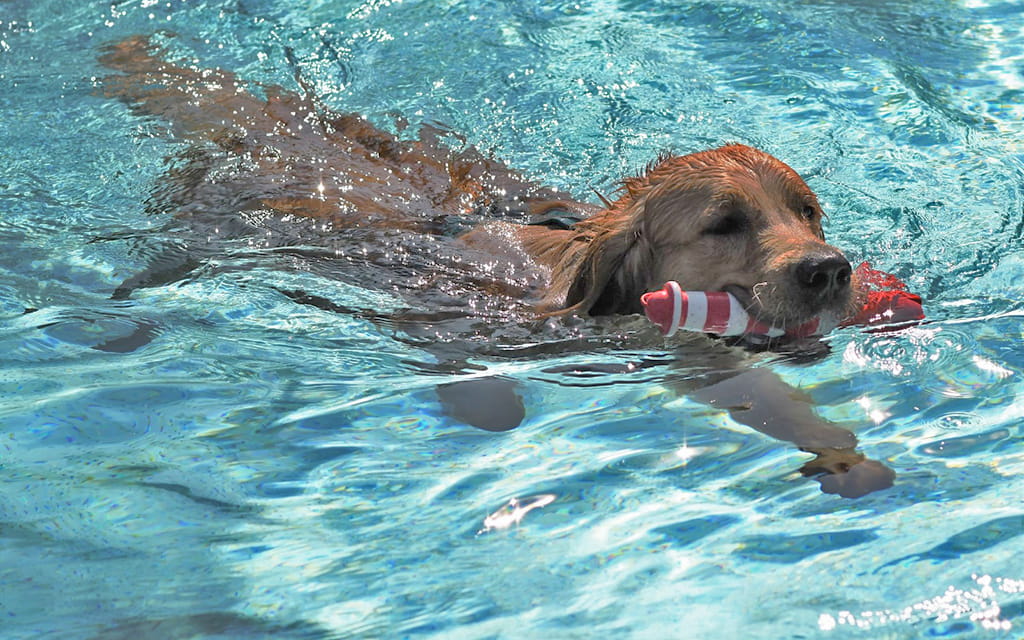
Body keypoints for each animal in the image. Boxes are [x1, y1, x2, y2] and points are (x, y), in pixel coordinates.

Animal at [99, 34, 892, 497]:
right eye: (725, 224)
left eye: (808, 211)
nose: (831, 269)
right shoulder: (447, 318)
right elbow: (483, 392)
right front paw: (488, 409)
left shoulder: (700, 352)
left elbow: (767, 398)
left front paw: (841, 455)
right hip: (207, 233)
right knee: (160, 265)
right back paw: (119, 320)